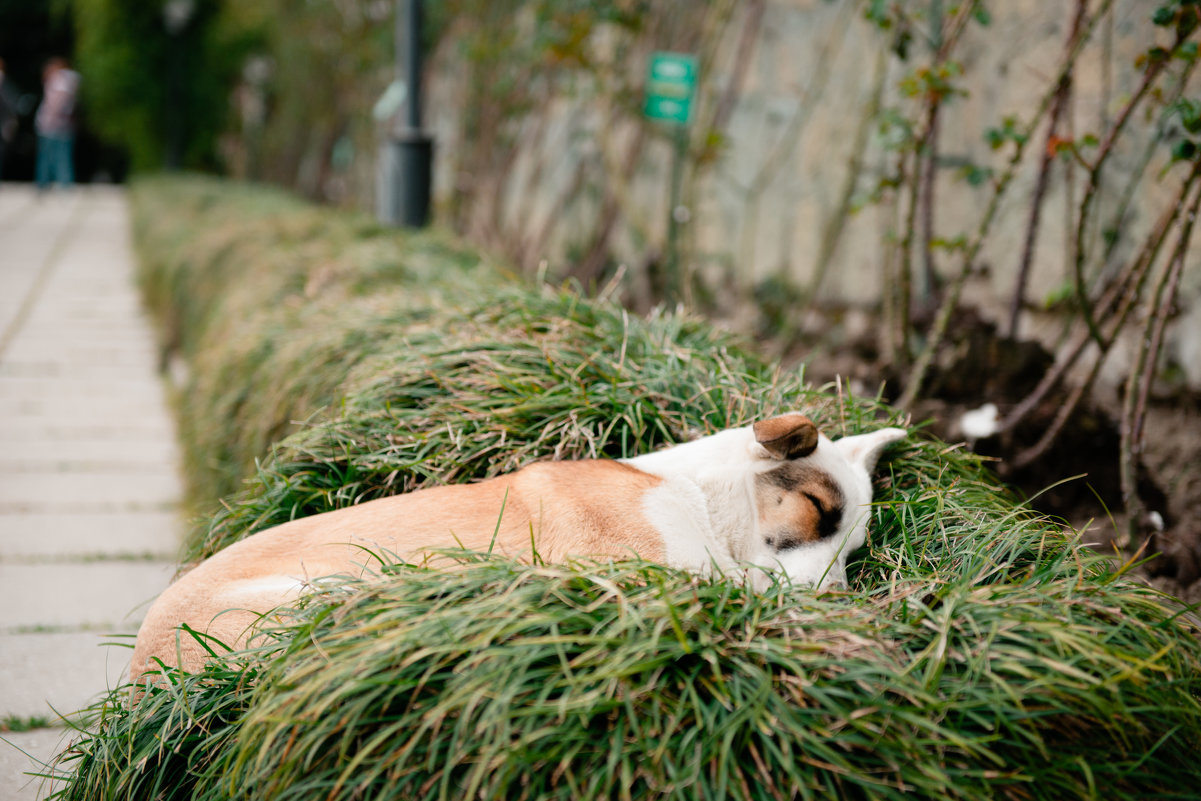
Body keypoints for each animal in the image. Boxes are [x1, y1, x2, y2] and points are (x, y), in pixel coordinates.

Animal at [129, 417, 903, 682]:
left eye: (854, 547)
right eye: (816, 510)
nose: (841, 606)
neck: (698, 492)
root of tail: (142, 680)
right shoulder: (638, 567)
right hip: (344, 593)